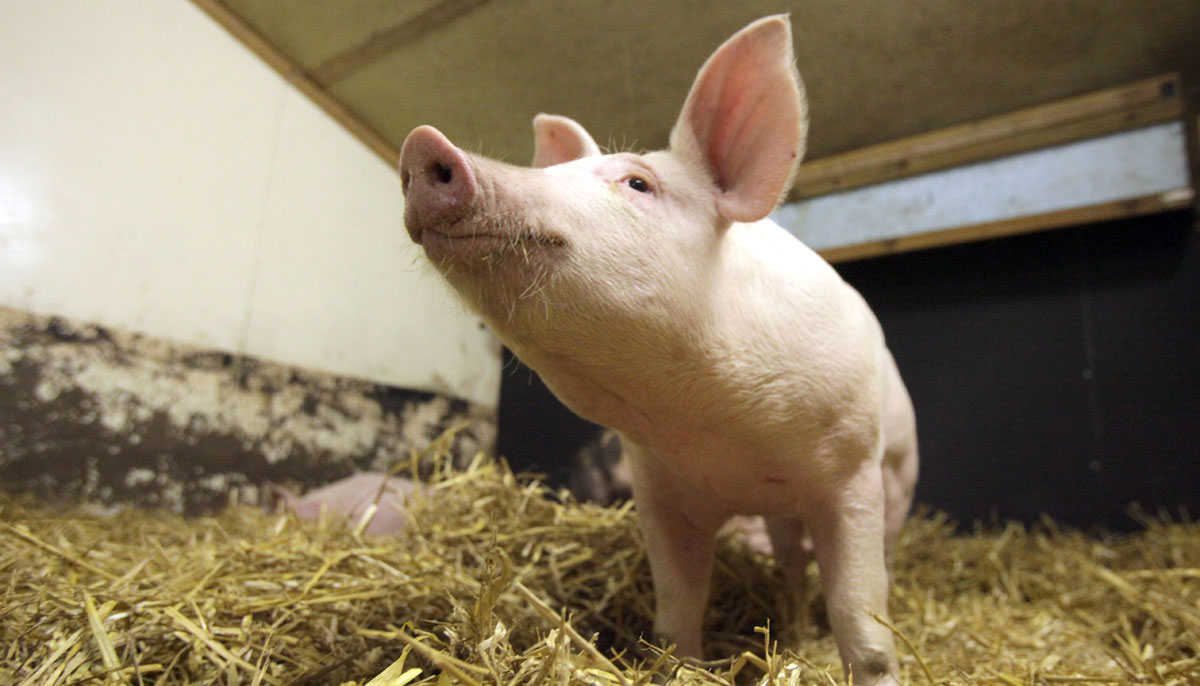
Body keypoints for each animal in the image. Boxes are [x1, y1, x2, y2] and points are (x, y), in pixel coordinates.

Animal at [398, 15, 918, 685]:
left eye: (638, 182)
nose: (421, 144)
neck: (724, 438)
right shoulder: (661, 493)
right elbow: (676, 606)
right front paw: (678, 664)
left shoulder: (850, 470)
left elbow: (860, 613)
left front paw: (870, 664)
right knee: (790, 560)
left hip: (898, 472)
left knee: (882, 553)